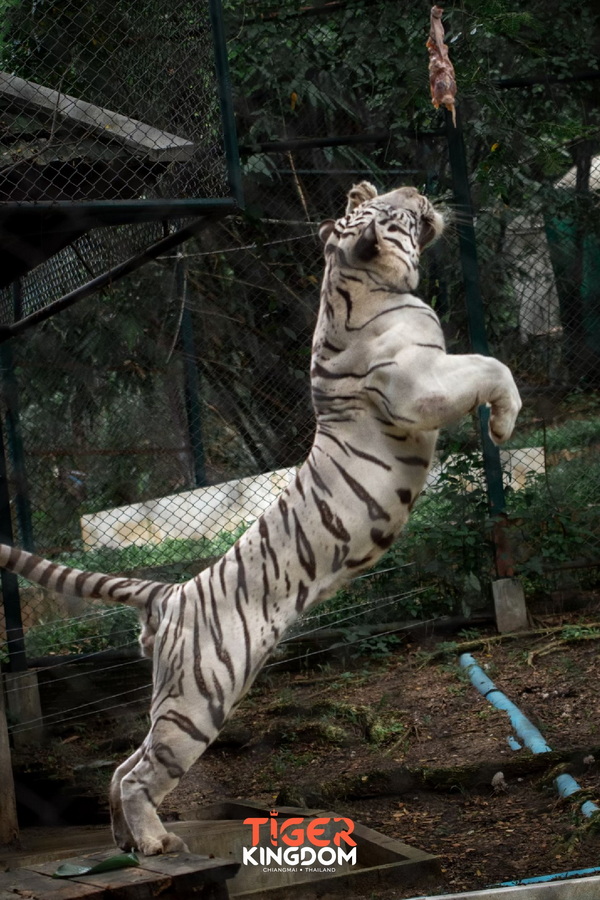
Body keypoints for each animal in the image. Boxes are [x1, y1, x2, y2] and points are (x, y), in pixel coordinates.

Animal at [0, 181, 520, 852]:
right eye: (400, 211)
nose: (415, 190)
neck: (351, 280)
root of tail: (170, 593)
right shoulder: (419, 386)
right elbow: (490, 364)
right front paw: (505, 424)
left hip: (178, 698)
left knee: (120, 766)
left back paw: (128, 841)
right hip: (197, 702)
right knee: (140, 773)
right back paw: (154, 843)